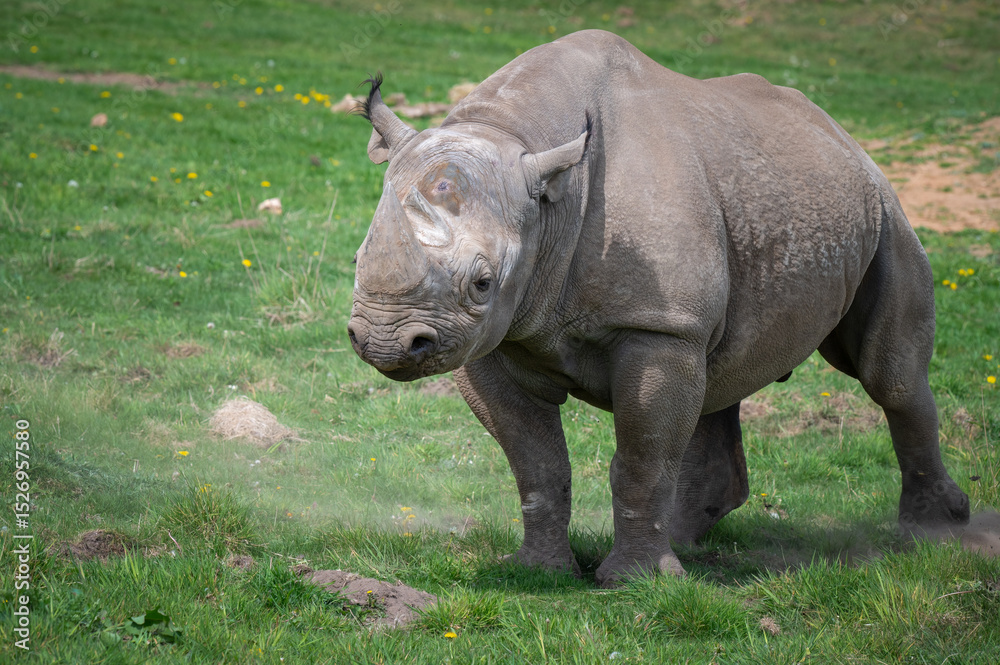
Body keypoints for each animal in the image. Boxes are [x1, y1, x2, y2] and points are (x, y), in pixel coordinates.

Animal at [347, 30, 970, 587]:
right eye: (357, 257)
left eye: (481, 282)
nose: (385, 342)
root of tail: (841, 134)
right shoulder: (492, 338)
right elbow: (536, 461)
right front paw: (537, 572)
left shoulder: (658, 327)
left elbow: (642, 457)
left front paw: (635, 582)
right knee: (718, 374)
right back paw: (686, 541)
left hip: (883, 205)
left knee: (888, 376)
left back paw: (933, 534)